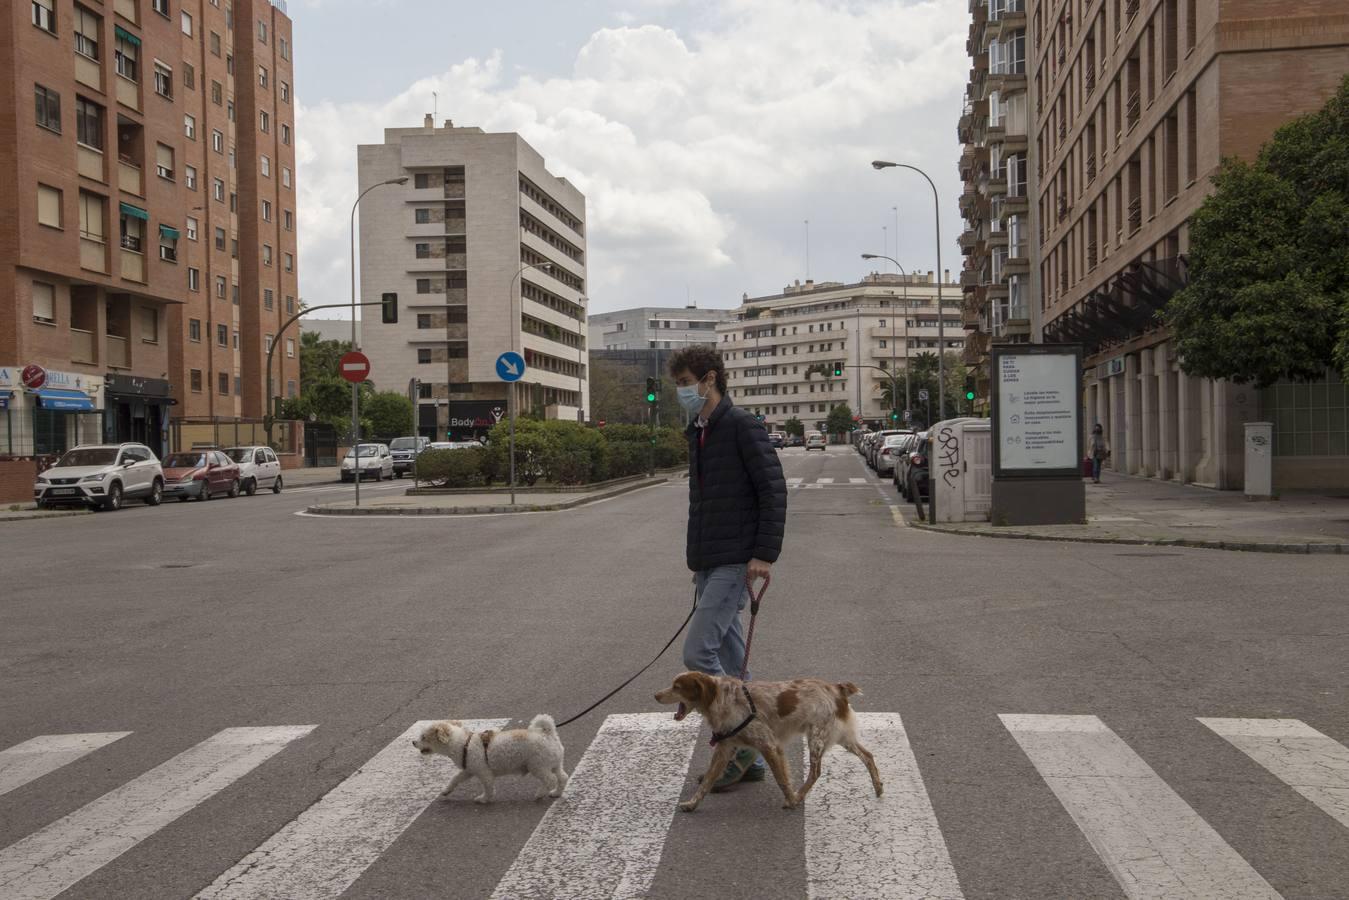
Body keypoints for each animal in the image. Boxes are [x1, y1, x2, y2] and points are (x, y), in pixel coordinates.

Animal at [410, 712, 569, 804]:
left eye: (424, 737)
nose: (413, 742)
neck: (463, 744)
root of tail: (547, 733)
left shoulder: (483, 772)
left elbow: (488, 786)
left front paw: (484, 799)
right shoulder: (468, 770)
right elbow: (455, 779)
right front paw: (446, 791)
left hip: (538, 766)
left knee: (550, 780)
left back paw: (540, 793)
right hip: (554, 764)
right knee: (563, 777)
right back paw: (556, 793)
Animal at [655, 671, 884, 814]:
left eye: (677, 687)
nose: (656, 695)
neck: (723, 699)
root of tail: (836, 688)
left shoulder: (768, 744)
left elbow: (781, 779)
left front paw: (791, 799)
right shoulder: (725, 748)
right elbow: (707, 782)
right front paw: (692, 804)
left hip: (817, 738)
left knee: (816, 772)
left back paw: (800, 795)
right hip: (841, 737)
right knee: (868, 756)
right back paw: (878, 787)